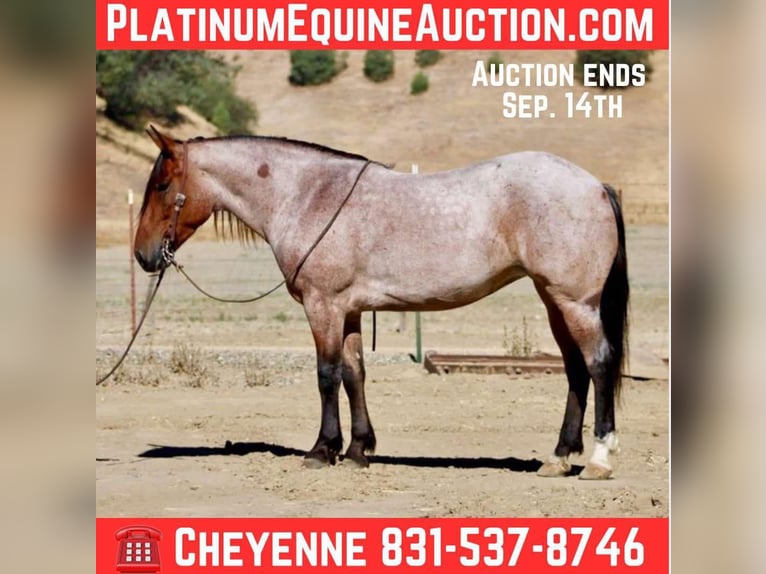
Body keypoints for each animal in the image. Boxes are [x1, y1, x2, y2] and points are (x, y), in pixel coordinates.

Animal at [134, 126, 629, 480]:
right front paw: (358, 450)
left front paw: (322, 450)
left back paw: (599, 460)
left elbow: (327, 375)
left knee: (599, 363)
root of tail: (595, 185)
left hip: (575, 302)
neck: (309, 196)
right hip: (554, 301)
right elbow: (355, 375)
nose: (143, 255)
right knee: (575, 370)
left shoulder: (323, 306)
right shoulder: (349, 311)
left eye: (162, 185)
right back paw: (559, 457)